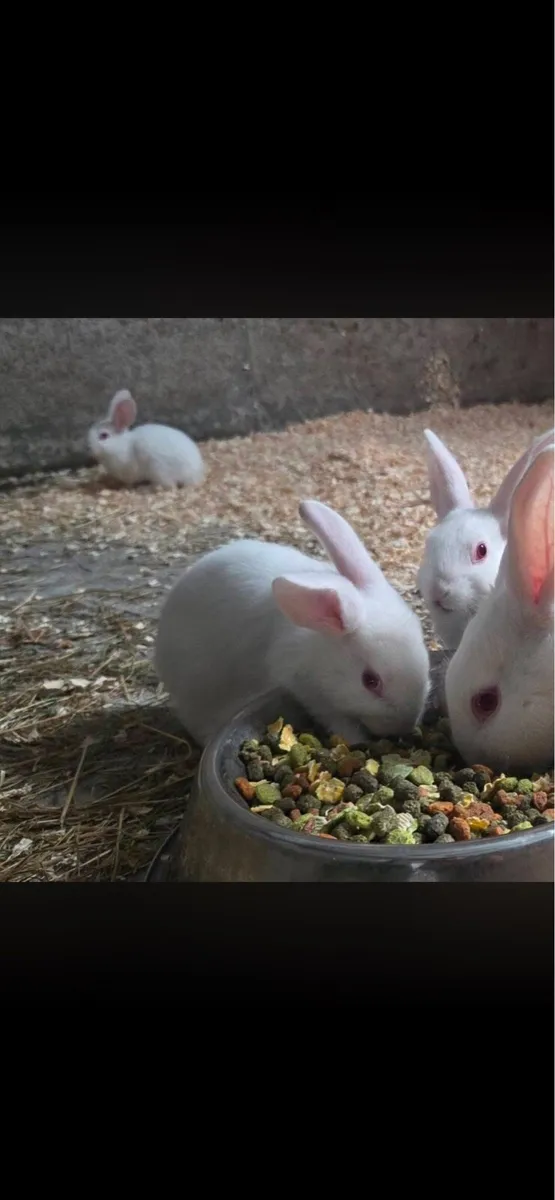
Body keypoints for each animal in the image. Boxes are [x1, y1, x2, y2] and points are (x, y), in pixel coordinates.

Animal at [155, 499, 431, 747]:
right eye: (370, 681)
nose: (405, 726)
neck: (320, 645)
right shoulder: (308, 690)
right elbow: (337, 720)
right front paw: (356, 741)